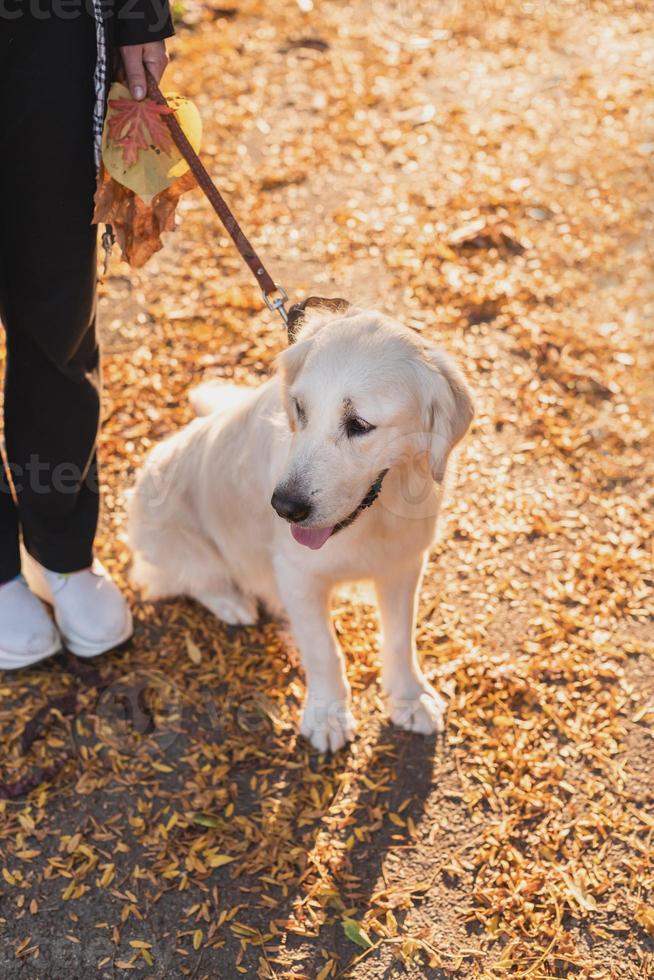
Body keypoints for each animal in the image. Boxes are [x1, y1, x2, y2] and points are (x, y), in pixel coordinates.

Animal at [128, 310, 474, 756]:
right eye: (300, 409)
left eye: (359, 424)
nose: (284, 507)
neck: (374, 516)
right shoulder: (297, 575)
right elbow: (324, 650)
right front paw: (327, 716)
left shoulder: (403, 564)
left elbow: (400, 637)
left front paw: (410, 698)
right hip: (172, 531)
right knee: (185, 578)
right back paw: (232, 602)